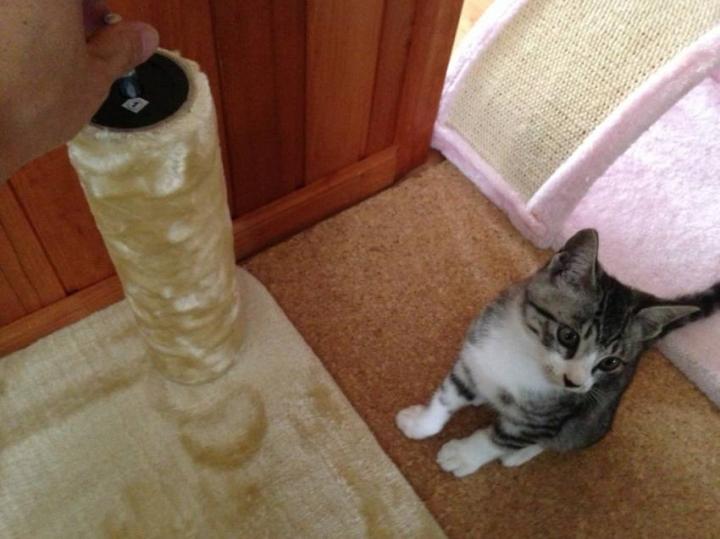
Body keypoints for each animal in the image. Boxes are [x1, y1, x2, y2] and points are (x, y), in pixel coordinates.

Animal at [396, 229, 720, 476]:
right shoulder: (474, 357)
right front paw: (422, 423)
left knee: (563, 437)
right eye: (568, 336)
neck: (526, 352)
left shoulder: (547, 416)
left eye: (610, 362)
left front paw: (464, 455)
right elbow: (447, 395)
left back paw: (520, 454)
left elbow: (502, 439)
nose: (574, 383)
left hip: (593, 418)